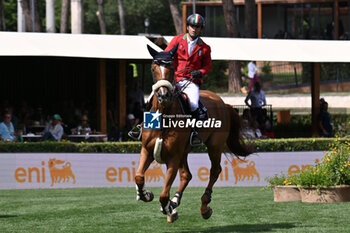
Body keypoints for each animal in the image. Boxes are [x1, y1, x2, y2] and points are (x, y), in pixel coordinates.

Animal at [135, 45, 252, 222]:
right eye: (153, 68)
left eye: (171, 67)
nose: (163, 96)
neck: (164, 116)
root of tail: (222, 102)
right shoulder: (147, 150)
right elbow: (139, 177)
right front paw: (145, 194)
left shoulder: (173, 157)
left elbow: (163, 195)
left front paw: (168, 208)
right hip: (185, 151)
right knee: (186, 175)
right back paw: (175, 202)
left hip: (214, 146)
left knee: (214, 171)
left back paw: (204, 207)